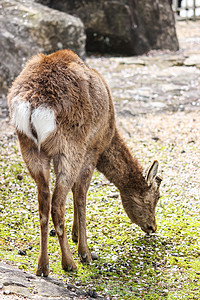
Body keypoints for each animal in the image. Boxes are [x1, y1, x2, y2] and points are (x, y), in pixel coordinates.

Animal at [7, 48, 162, 276]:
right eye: (156, 196)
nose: (153, 227)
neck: (109, 135)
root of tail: (34, 105)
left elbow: (74, 191)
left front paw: (75, 235)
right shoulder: (91, 150)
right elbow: (80, 194)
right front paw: (83, 249)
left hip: (29, 147)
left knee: (44, 203)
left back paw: (43, 266)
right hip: (70, 146)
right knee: (57, 204)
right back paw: (70, 262)